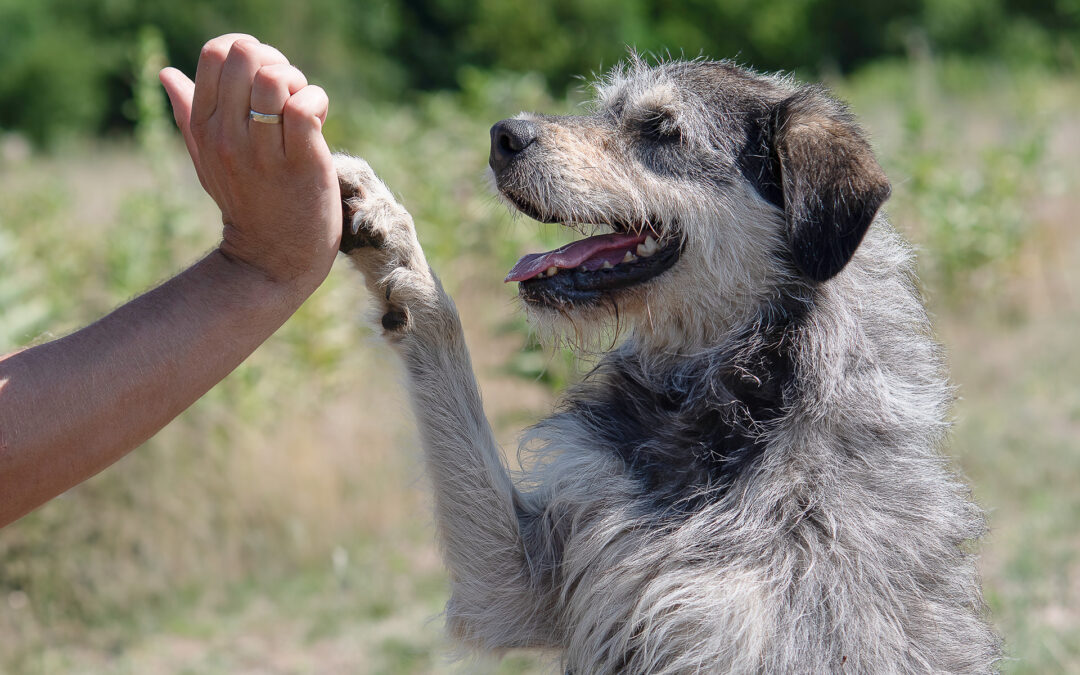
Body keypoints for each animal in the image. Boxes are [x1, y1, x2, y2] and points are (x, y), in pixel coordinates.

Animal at [332, 57, 997, 673]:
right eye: (604, 109)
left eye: (660, 129)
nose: (503, 134)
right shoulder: (513, 583)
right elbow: (445, 353)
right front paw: (389, 238)